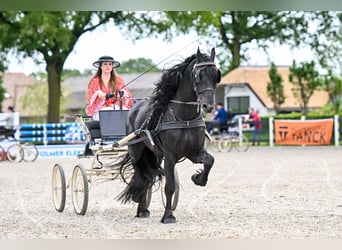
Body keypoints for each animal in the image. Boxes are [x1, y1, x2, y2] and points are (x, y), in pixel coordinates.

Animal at [118, 47, 222, 224]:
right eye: (198, 76)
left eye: (216, 75)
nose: (208, 107)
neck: (184, 118)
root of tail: (135, 106)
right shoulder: (171, 155)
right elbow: (170, 186)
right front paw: (168, 215)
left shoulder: (194, 152)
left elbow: (210, 160)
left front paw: (198, 178)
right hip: (136, 151)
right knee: (141, 175)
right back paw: (140, 203)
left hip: (156, 154)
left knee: (148, 176)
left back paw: (143, 208)